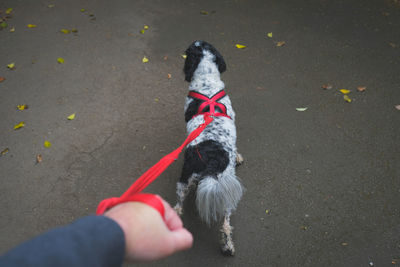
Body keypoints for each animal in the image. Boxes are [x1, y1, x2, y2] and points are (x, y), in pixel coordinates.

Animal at [174, 40, 244, 256]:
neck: (207, 83)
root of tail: (211, 159)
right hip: (224, 189)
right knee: (226, 223)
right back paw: (227, 246)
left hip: (187, 178)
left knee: (180, 202)